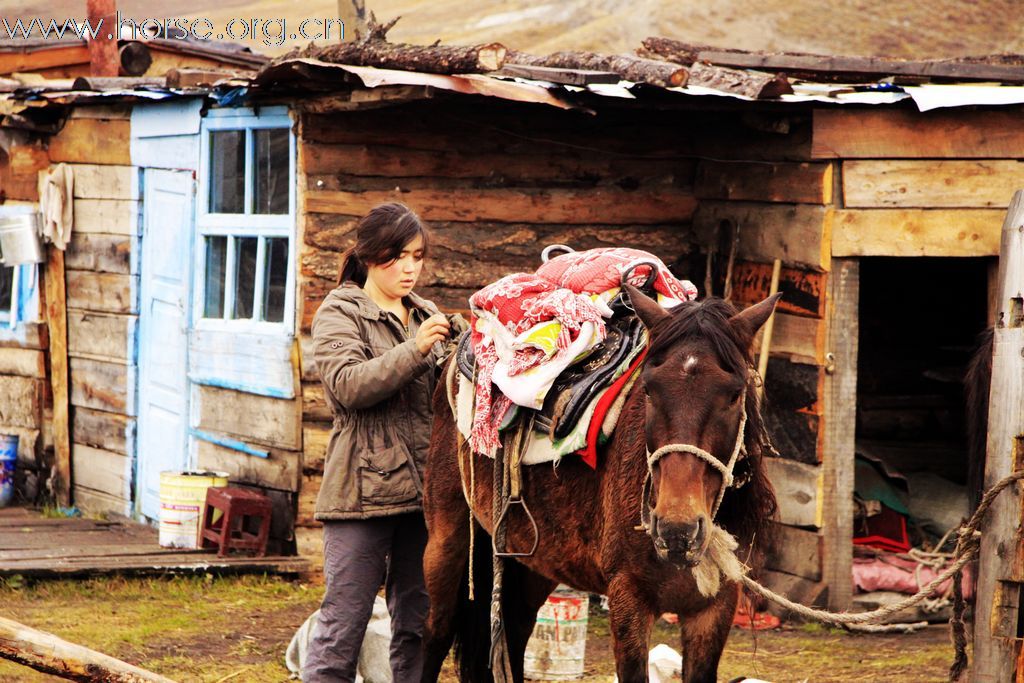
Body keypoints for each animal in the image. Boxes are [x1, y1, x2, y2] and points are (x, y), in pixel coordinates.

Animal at [419, 286, 778, 679]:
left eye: (733, 395)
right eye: (649, 391)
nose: (677, 529)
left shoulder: (714, 610)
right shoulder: (628, 600)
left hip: (533, 560)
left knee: (514, 633)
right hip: (446, 541)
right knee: (436, 632)